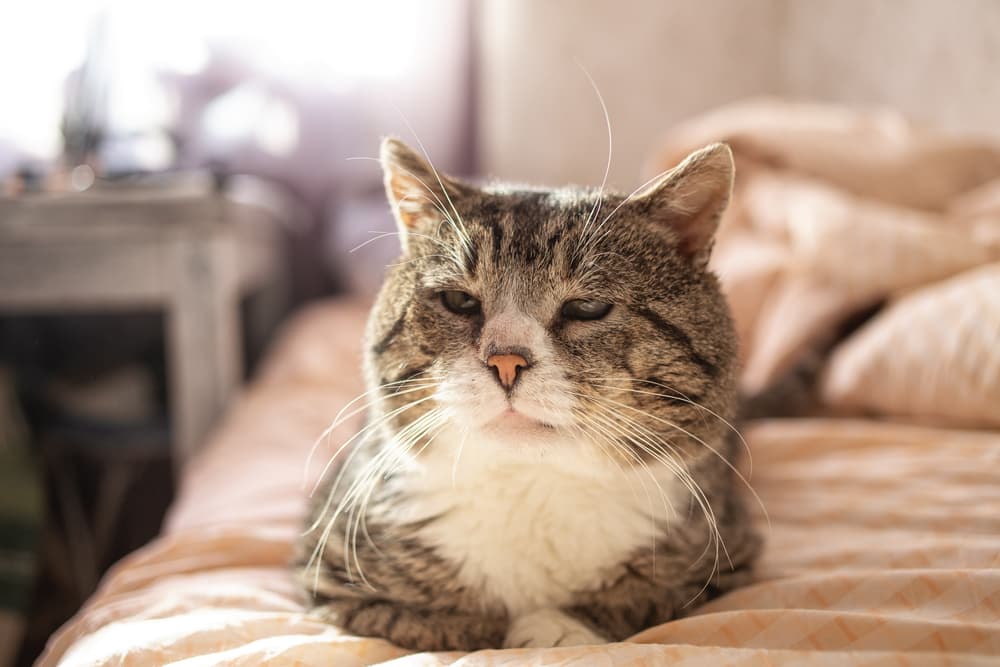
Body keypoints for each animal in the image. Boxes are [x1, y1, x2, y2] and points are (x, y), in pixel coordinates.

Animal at [294, 137, 756, 652]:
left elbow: (642, 600)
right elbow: (425, 623)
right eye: (459, 301)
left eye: (587, 307)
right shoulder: (329, 575)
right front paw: (487, 627)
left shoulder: (725, 561)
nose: (506, 360)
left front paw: (554, 629)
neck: (529, 487)